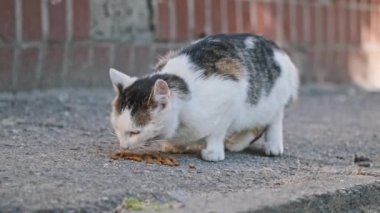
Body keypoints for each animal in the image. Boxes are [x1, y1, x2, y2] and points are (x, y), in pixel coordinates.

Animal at [110, 33, 300, 161]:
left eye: (135, 132)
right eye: (117, 129)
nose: (123, 146)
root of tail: (277, 48)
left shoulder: (230, 97)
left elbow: (217, 131)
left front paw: (213, 152)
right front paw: (177, 145)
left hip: (271, 100)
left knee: (273, 119)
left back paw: (272, 145)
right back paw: (237, 143)